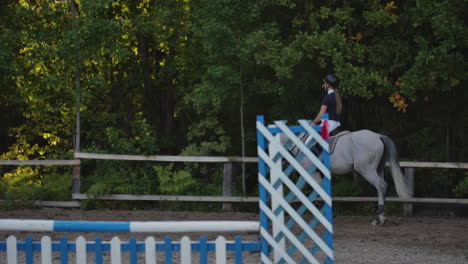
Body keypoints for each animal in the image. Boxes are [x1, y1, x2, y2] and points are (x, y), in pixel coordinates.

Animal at [282, 129, 410, 226]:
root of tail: (378, 136)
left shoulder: (312, 174)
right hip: (379, 169)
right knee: (380, 189)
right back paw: (380, 218)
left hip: (366, 170)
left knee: (382, 185)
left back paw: (380, 215)